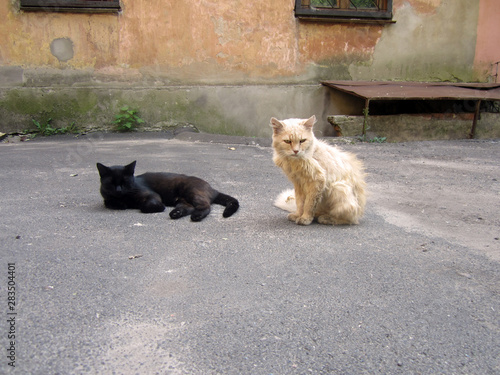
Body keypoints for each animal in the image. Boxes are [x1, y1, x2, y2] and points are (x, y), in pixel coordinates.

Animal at [97, 161, 240, 220]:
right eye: (111, 183)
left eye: (124, 182)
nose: (119, 190)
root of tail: (212, 188)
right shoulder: (107, 199)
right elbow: (111, 203)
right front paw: (121, 203)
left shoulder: (152, 195)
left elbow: (146, 205)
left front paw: (159, 207)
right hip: (183, 200)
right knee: (189, 207)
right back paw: (176, 213)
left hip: (192, 192)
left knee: (205, 206)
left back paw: (196, 216)